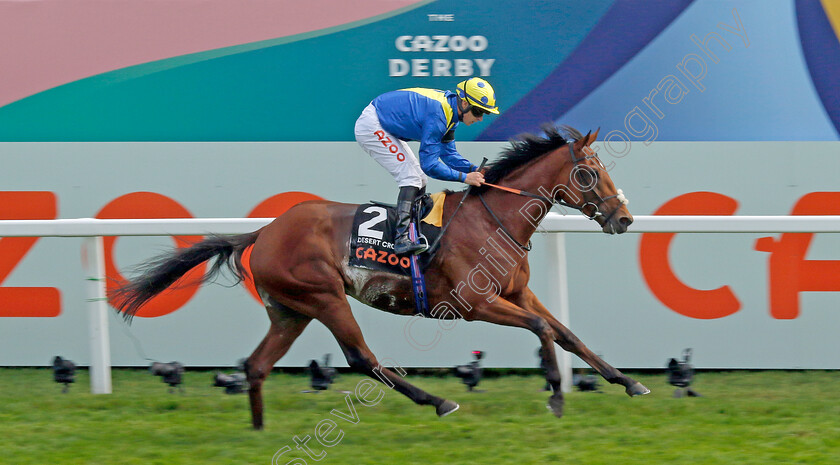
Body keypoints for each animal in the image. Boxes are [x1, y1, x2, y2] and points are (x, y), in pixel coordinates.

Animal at [111, 125, 648, 430]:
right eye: (590, 172)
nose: (624, 219)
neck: (494, 220)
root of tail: (264, 231)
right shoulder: (476, 305)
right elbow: (542, 331)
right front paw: (555, 396)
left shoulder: (519, 292)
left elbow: (566, 333)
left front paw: (627, 382)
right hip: (324, 297)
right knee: (360, 357)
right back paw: (437, 402)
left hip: (289, 311)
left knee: (258, 365)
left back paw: (259, 431)